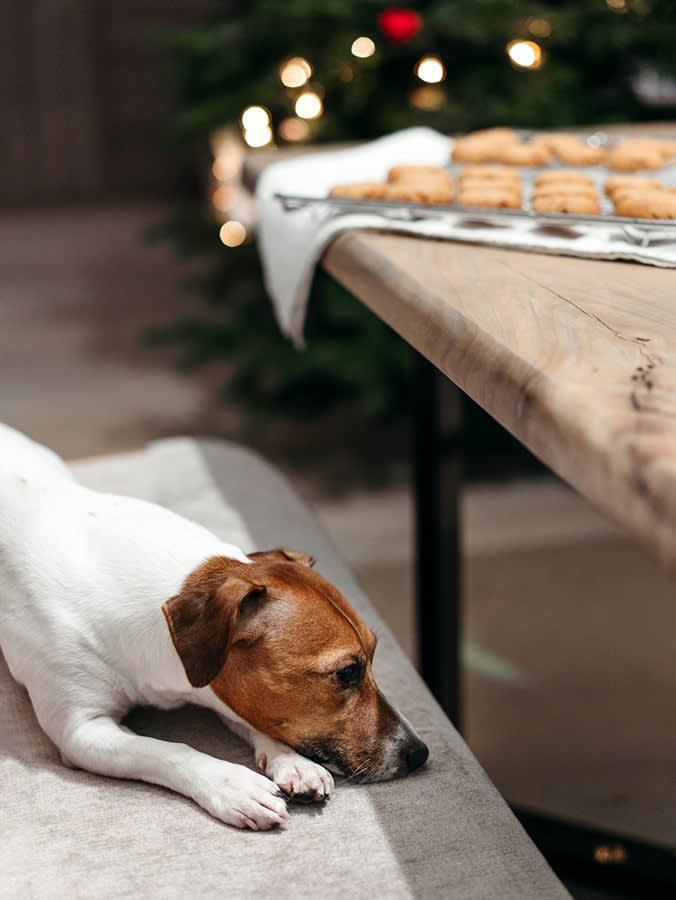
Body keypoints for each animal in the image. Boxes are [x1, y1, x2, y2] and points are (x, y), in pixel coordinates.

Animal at [0, 428, 428, 828]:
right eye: (347, 672)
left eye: (373, 655)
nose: (420, 754)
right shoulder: (81, 731)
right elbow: (166, 749)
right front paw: (234, 784)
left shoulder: (221, 684)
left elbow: (254, 717)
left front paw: (292, 761)